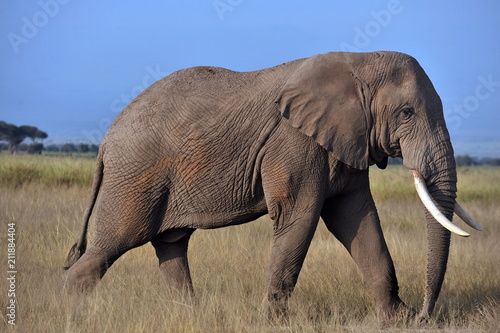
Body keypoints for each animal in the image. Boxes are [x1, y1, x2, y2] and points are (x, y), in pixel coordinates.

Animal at [62, 51, 480, 322]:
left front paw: (398, 319)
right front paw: (274, 323)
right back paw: (74, 311)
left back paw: (191, 316)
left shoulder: (345, 140)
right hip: (136, 176)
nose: (426, 316)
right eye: (406, 112)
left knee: (171, 246)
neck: (358, 61)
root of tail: (105, 140)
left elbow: (357, 219)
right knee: (114, 243)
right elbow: (301, 217)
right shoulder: (295, 141)